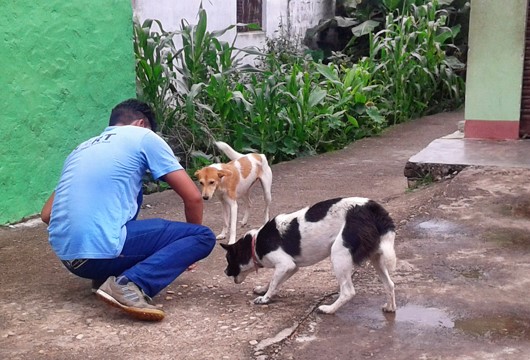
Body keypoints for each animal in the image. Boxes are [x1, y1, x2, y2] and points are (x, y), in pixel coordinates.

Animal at [219, 198, 396, 314]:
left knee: (348, 291)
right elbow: (273, 282)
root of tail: (371, 208)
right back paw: (390, 307)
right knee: (390, 284)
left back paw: (328, 309)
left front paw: (265, 298)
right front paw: (264, 290)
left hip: (339, 254)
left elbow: (274, 282)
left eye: (229, 259)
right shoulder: (291, 267)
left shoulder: (285, 265)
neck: (255, 243)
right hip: (377, 257)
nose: (225, 272)